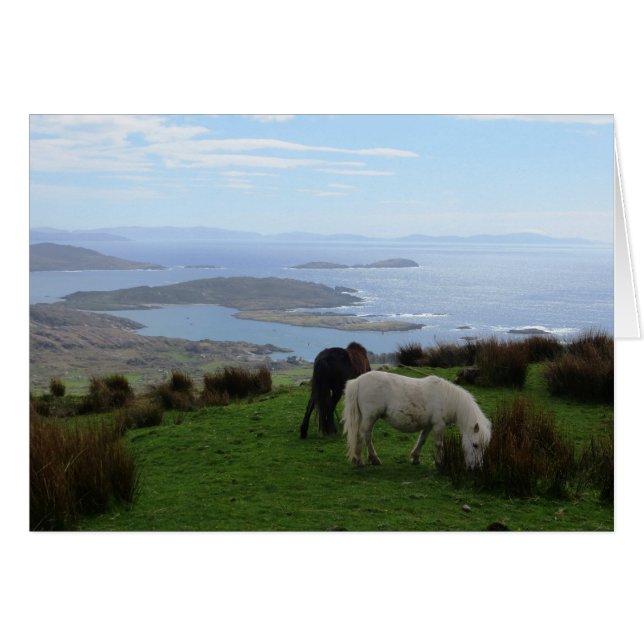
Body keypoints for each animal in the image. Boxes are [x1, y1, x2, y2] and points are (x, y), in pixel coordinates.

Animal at [342, 370, 491, 469]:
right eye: (475, 445)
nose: (477, 467)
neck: (447, 398)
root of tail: (358, 381)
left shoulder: (429, 425)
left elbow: (422, 440)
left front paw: (415, 458)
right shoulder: (439, 425)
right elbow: (438, 444)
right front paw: (439, 463)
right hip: (370, 417)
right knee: (364, 435)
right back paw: (366, 459)